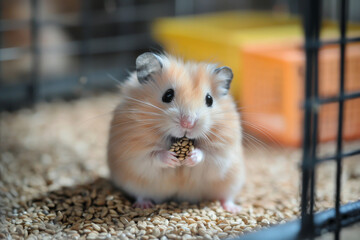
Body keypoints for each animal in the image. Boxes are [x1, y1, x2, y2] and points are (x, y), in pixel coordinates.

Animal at [107, 53, 245, 214]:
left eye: (209, 99)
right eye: (168, 95)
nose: (188, 123)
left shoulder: (222, 154)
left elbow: (207, 156)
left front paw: (191, 156)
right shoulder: (133, 154)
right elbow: (152, 156)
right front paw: (171, 158)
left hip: (232, 181)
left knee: (226, 196)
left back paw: (233, 209)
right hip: (131, 182)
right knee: (140, 194)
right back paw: (144, 205)